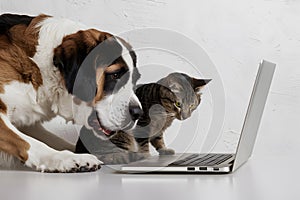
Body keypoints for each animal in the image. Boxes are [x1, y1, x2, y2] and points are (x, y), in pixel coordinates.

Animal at [75, 72, 211, 163]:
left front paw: (164, 149)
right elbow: (144, 144)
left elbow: (159, 140)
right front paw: (146, 156)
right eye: (178, 104)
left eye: (192, 105)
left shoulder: (158, 130)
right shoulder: (142, 125)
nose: (186, 116)